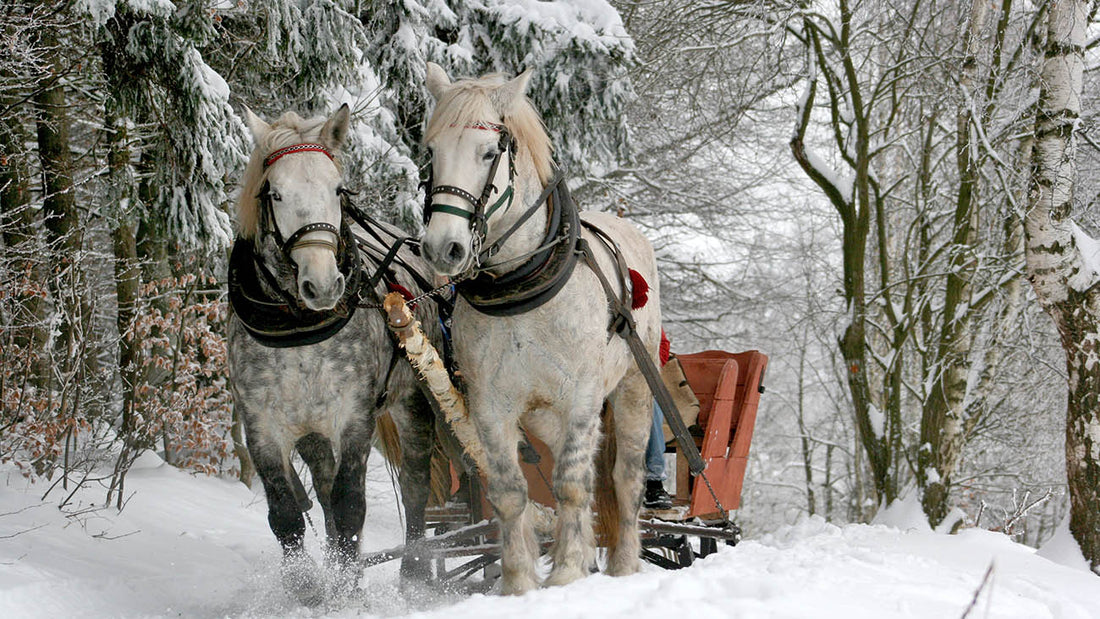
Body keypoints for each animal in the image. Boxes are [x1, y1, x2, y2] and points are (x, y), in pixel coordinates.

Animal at [227, 106, 437, 606]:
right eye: (276, 193)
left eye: (338, 190)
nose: (322, 285)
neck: (299, 329)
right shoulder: (262, 426)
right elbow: (286, 513)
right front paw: (308, 587)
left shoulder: (354, 417)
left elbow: (350, 505)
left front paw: (347, 589)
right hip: (312, 432)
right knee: (321, 490)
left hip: (413, 402)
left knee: (415, 484)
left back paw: (415, 573)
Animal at [418, 64, 660, 593]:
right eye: (431, 152)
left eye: (489, 153)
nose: (443, 248)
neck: (521, 287)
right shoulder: (491, 405)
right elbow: (511, 491)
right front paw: (519, 582)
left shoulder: (583, 396)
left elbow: (571, 483)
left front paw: (567, 571)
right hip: (544, 414)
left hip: (632, 387)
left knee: (623, 477)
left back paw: (624, 564)